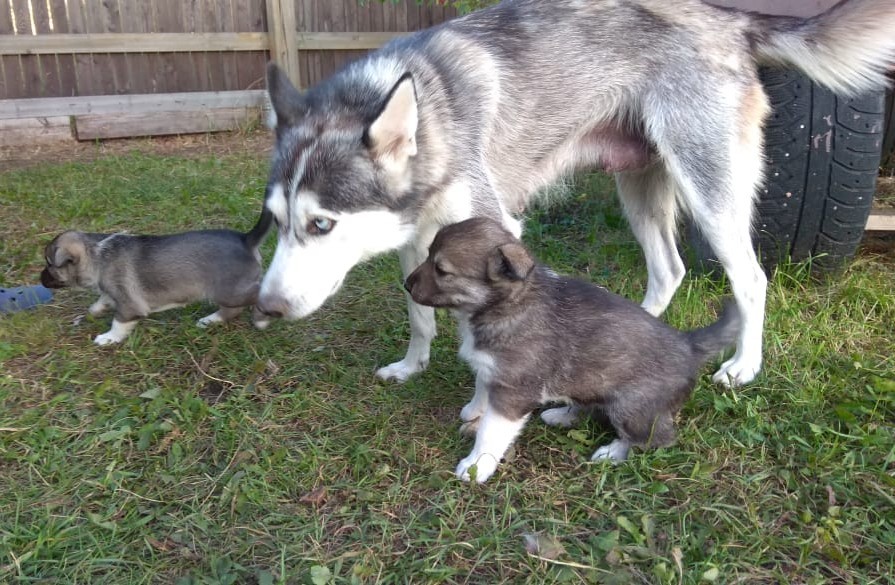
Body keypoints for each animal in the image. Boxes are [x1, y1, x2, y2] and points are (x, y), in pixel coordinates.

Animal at [42, 210, 272, 344]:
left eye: (50, 264)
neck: (96, 254)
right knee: (232, 310)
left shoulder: (128, 305)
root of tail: (246, 239)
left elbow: (118, 323)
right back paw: (209, 320)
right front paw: (90, 314)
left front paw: (107, 338)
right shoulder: (111, 293)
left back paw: (262, 318)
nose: (40, 279)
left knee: (257, 296)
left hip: (230, 292)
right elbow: (100, 303)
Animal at [254, 1, 895, 388]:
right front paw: (413, 365)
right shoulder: (418, 241)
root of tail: (731, 19)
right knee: (669, 270)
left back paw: (745, 365)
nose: (267, 307)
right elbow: (420, 316)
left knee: (752, 280)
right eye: (276, 221)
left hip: (710, 195)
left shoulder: (493, 233)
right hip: (639, 191)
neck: (432, 108)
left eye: (321, 224)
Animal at [406, 217, 744, 482]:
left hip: (632, 407)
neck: (504, 306)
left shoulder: (514, 391)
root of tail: (689, 344)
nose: (406, 284)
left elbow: (491, 431)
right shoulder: (495, 370)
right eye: (427, 254)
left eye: (442, 270)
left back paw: (612, 451)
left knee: (654, 438)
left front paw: (476, 465)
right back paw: (563, 415)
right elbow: (481, 386)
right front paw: (473, 410)